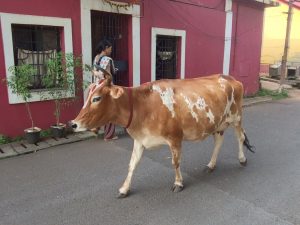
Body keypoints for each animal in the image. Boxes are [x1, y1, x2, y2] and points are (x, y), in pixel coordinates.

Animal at [71, 71, 255, 197]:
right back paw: (210, 165)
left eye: (97, 98)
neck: (141, 105)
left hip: (236, 117)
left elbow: (175, 162)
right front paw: (124, 188)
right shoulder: (139, 140)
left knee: (240, 137)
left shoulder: (175, 138)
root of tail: (230, 78)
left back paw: (242, 159)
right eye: (88, 96)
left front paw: (178, 183)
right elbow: (132, 164)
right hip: (218, 123)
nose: (73, 124)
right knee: (218, 141)